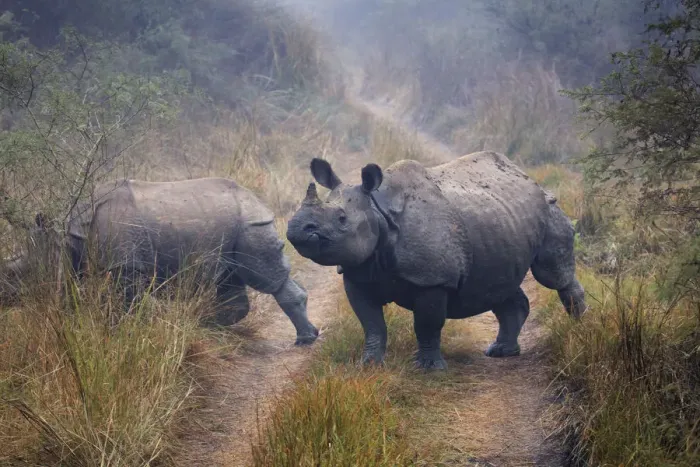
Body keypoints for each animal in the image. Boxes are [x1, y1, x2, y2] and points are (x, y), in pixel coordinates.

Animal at [27, 177, 319, 345]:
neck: (71, 232)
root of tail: (256, 200)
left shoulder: (126, 265)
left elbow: (127, 304)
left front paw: (126, 334)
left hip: (251, 225)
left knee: (263, 277)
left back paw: (305, 339)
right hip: (232, 225)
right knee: (230, 276)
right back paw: (206, 323)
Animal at [286, 151, 586, 368]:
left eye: (341, 219)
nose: (296, 228)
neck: (377, 209)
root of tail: (528, 177)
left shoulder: (432, 279)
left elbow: (426, 324)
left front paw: (428, 368)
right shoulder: (358, 272)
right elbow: (371, 325)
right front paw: (368, 365)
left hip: (548, 207)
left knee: (551, 274)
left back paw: (579, 329)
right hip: (501, 222)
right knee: (498, 285)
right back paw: (501, 352)